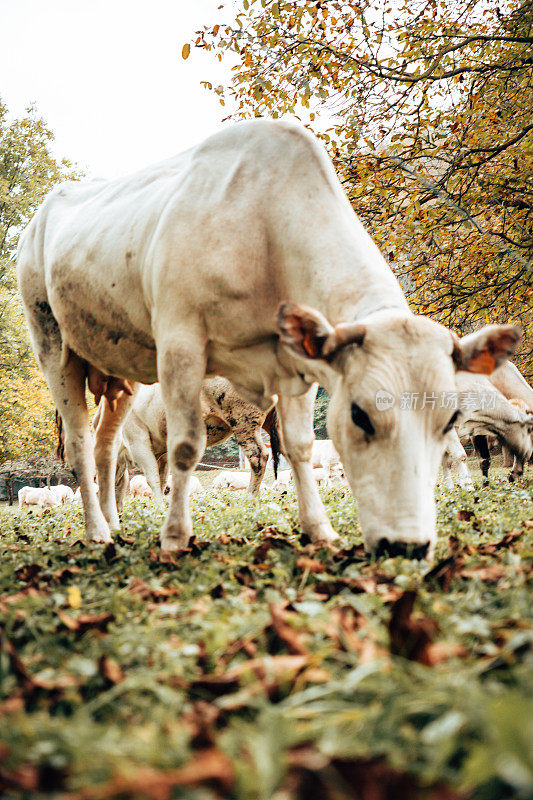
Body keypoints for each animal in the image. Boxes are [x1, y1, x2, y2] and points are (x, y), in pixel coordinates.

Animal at [16, 117, 520, 556]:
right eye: (359, 415)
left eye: (450, 419)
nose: (408, 546)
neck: (264, 231)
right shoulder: (180, 344)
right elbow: (184, 448)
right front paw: (175, 537)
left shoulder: (297, 364)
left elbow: (298, 445)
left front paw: (320, 531)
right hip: (52, 347)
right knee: (82, 443)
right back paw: (97, 531)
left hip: (120, 376)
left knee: (106, 448)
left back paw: (114, 522)